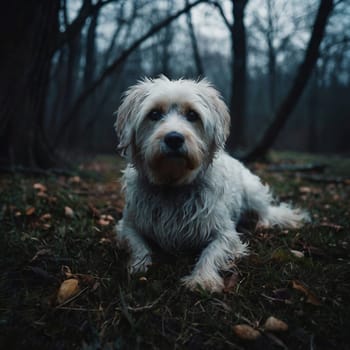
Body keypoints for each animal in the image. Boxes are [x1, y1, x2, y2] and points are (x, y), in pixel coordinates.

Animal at [113, 76, 308, 292]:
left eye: (192, 114)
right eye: (154, 114)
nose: (174, 138)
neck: (172, 185)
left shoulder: (225, 233)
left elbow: (211, 252)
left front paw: (202, 278)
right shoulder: (127, 225)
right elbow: (137, 244)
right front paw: (138, 266)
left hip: (253, 192)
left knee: (265, 211)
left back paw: (263, 223)